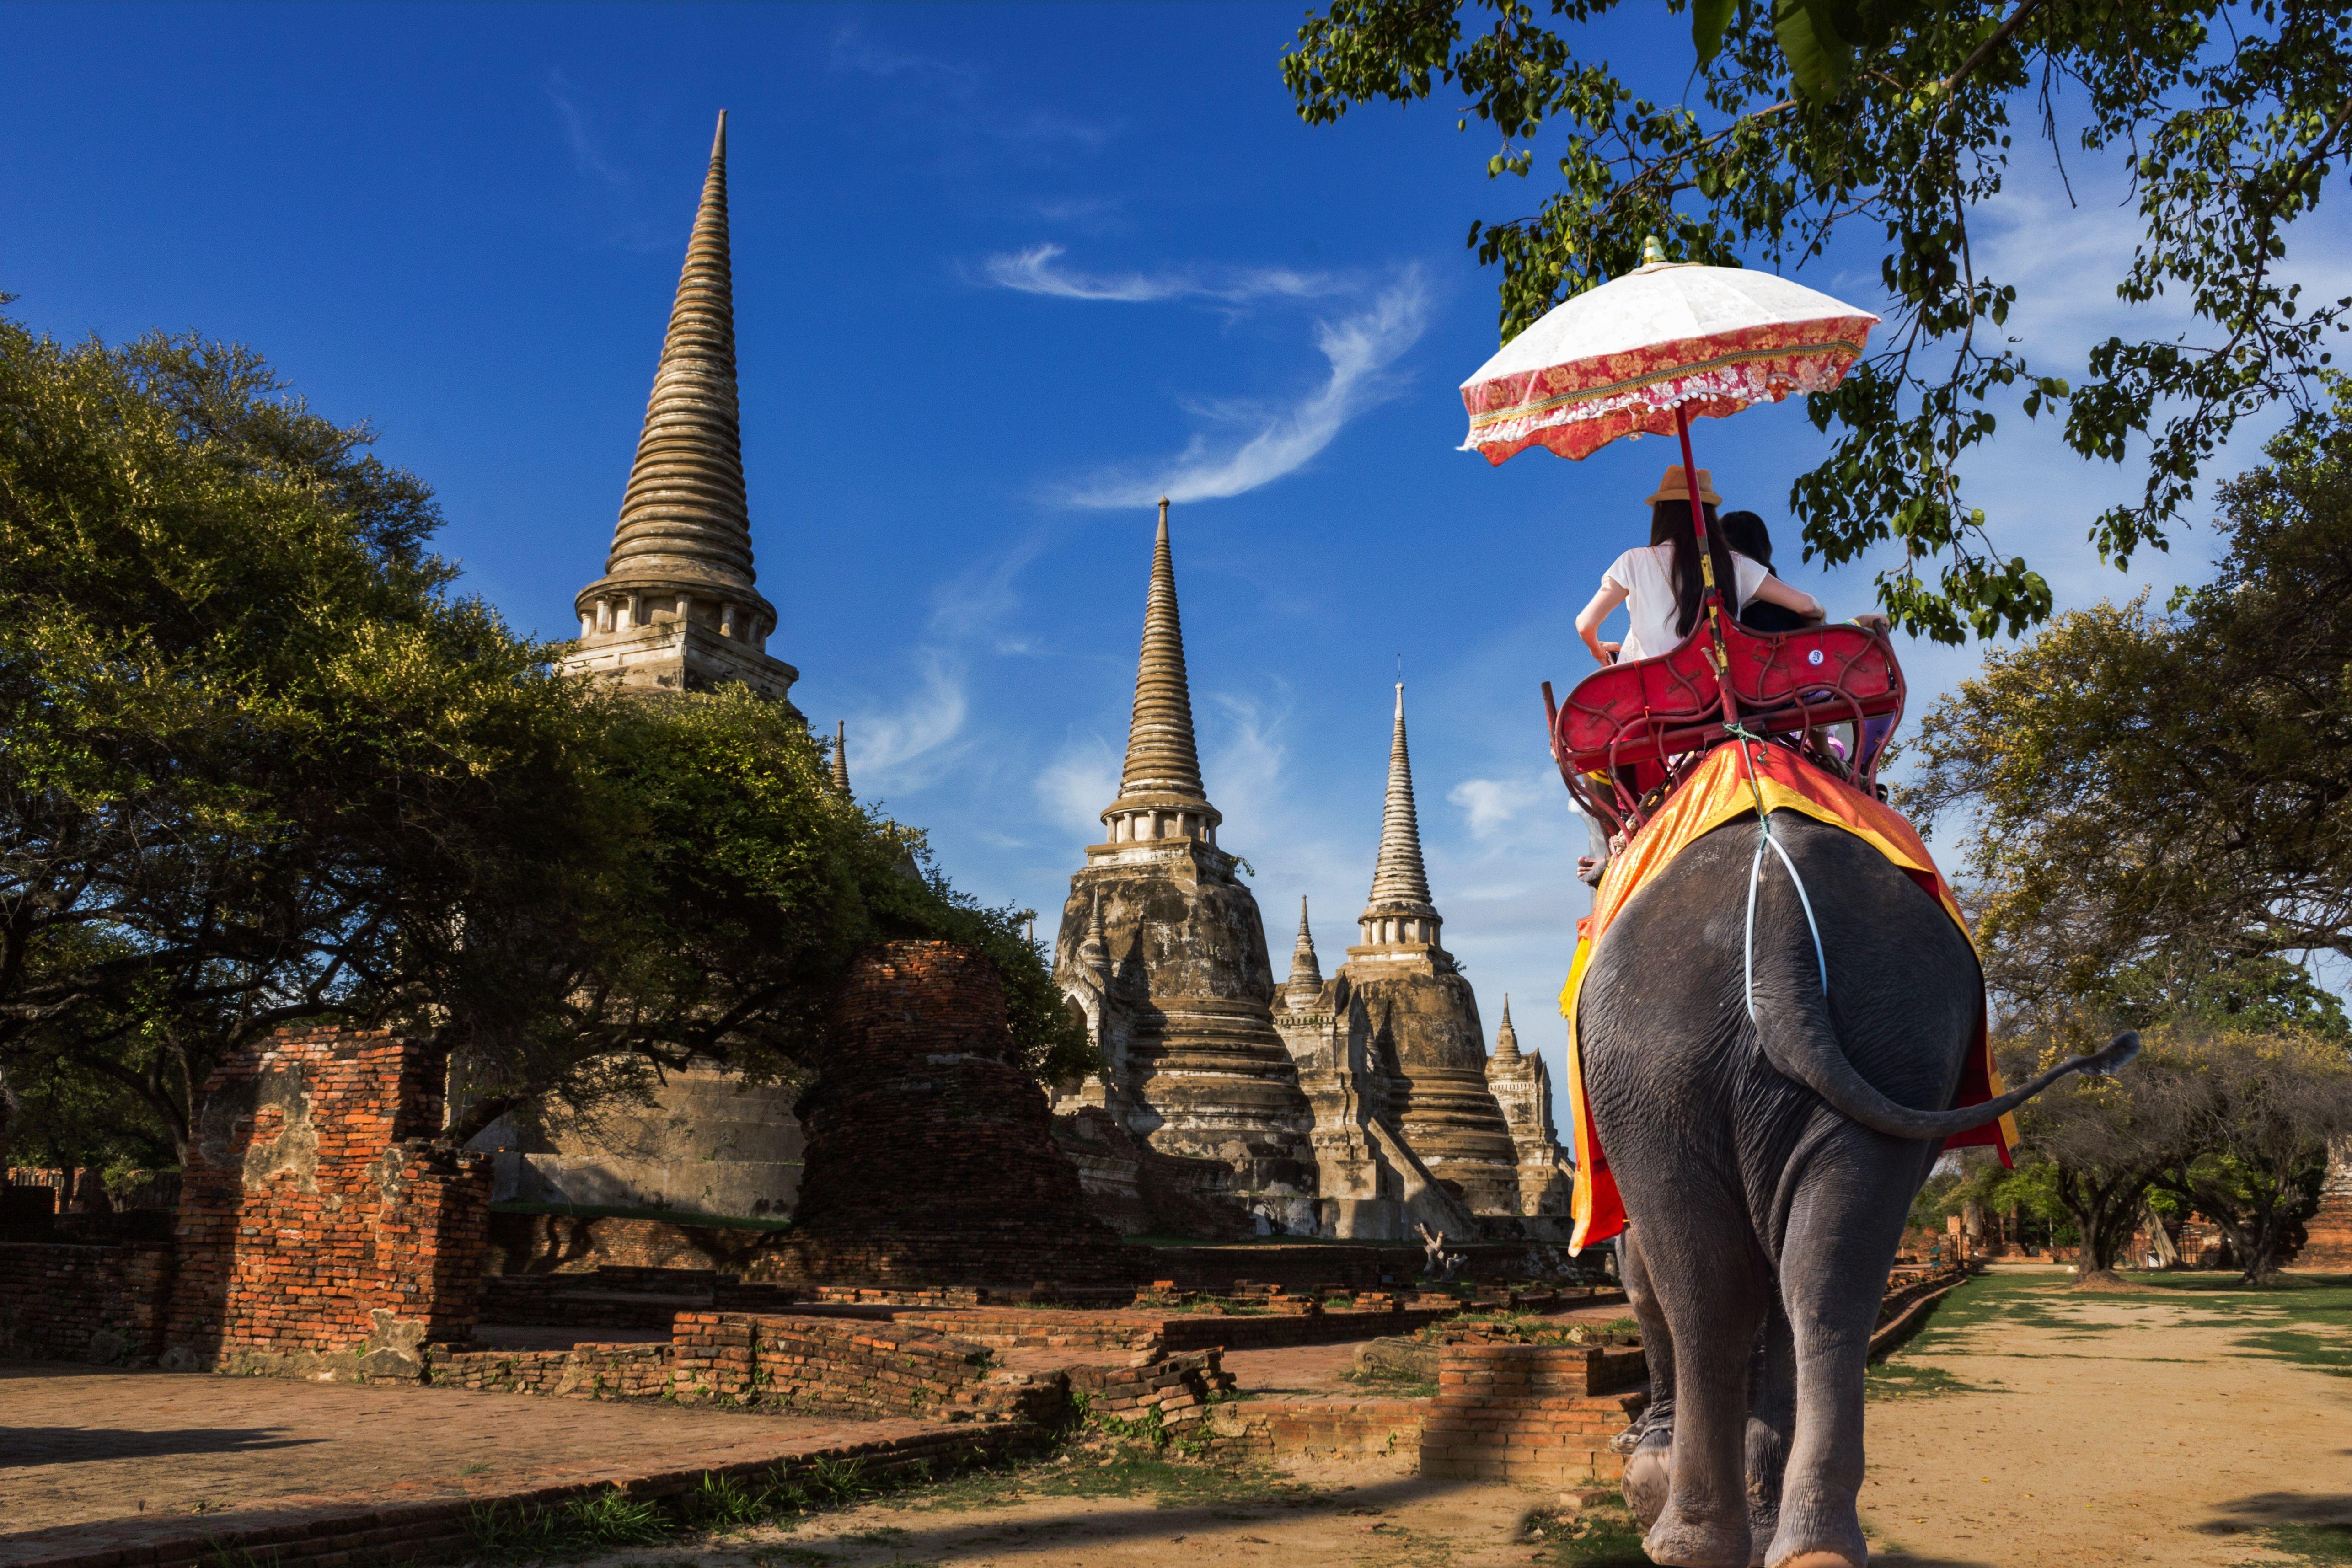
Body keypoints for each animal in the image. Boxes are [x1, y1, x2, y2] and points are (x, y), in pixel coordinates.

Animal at [1581, 808, 2135, 1568]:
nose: (1590, 869)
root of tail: (1776, 908)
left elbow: (1641, 1274)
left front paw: (1647, 1456)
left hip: (1644, 1055)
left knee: (1706, 1289)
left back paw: (1686, 1540)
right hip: (1898, 1023)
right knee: (1825, 1277)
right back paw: (1809, 1542)